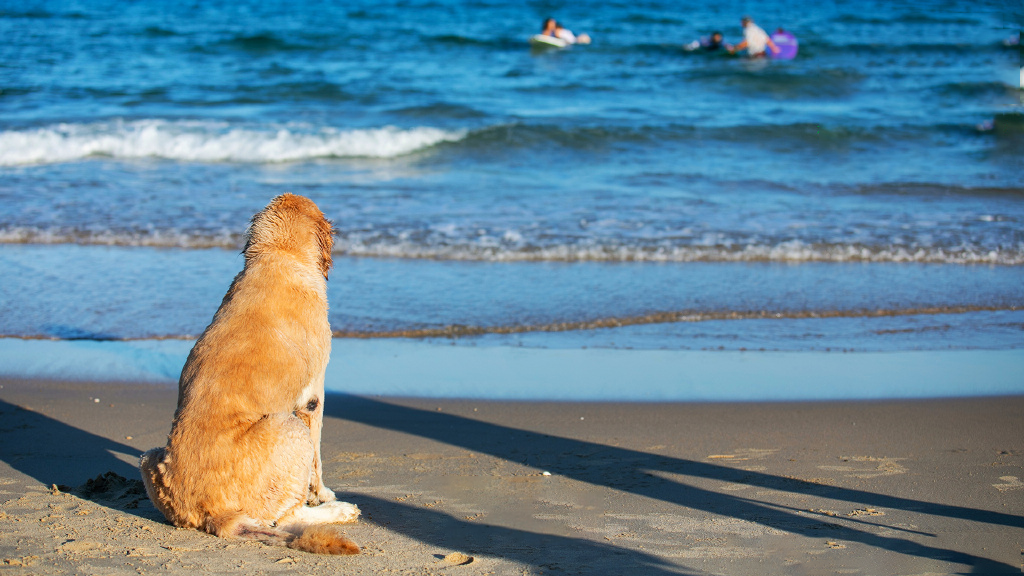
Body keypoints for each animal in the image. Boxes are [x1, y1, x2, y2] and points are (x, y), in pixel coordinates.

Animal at [138, 192, 358, 553]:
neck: (276, 256)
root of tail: (215, 515)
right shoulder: (313, 396)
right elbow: (317, 458)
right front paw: (323, 494)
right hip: (289, 427)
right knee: (288, 516)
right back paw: (339, 511)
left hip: (149, 456)